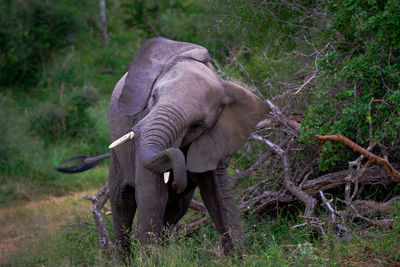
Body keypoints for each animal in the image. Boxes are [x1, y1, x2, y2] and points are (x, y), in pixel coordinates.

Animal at [57, 37, 266, 258]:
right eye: (154, 98)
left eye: (197, 125)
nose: (176, 179)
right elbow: (151, 194)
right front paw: (150, 259)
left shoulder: (215, 139)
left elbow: (219, 194)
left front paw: (240, 257)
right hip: (118, 156)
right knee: (122, 200)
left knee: (176, 207)